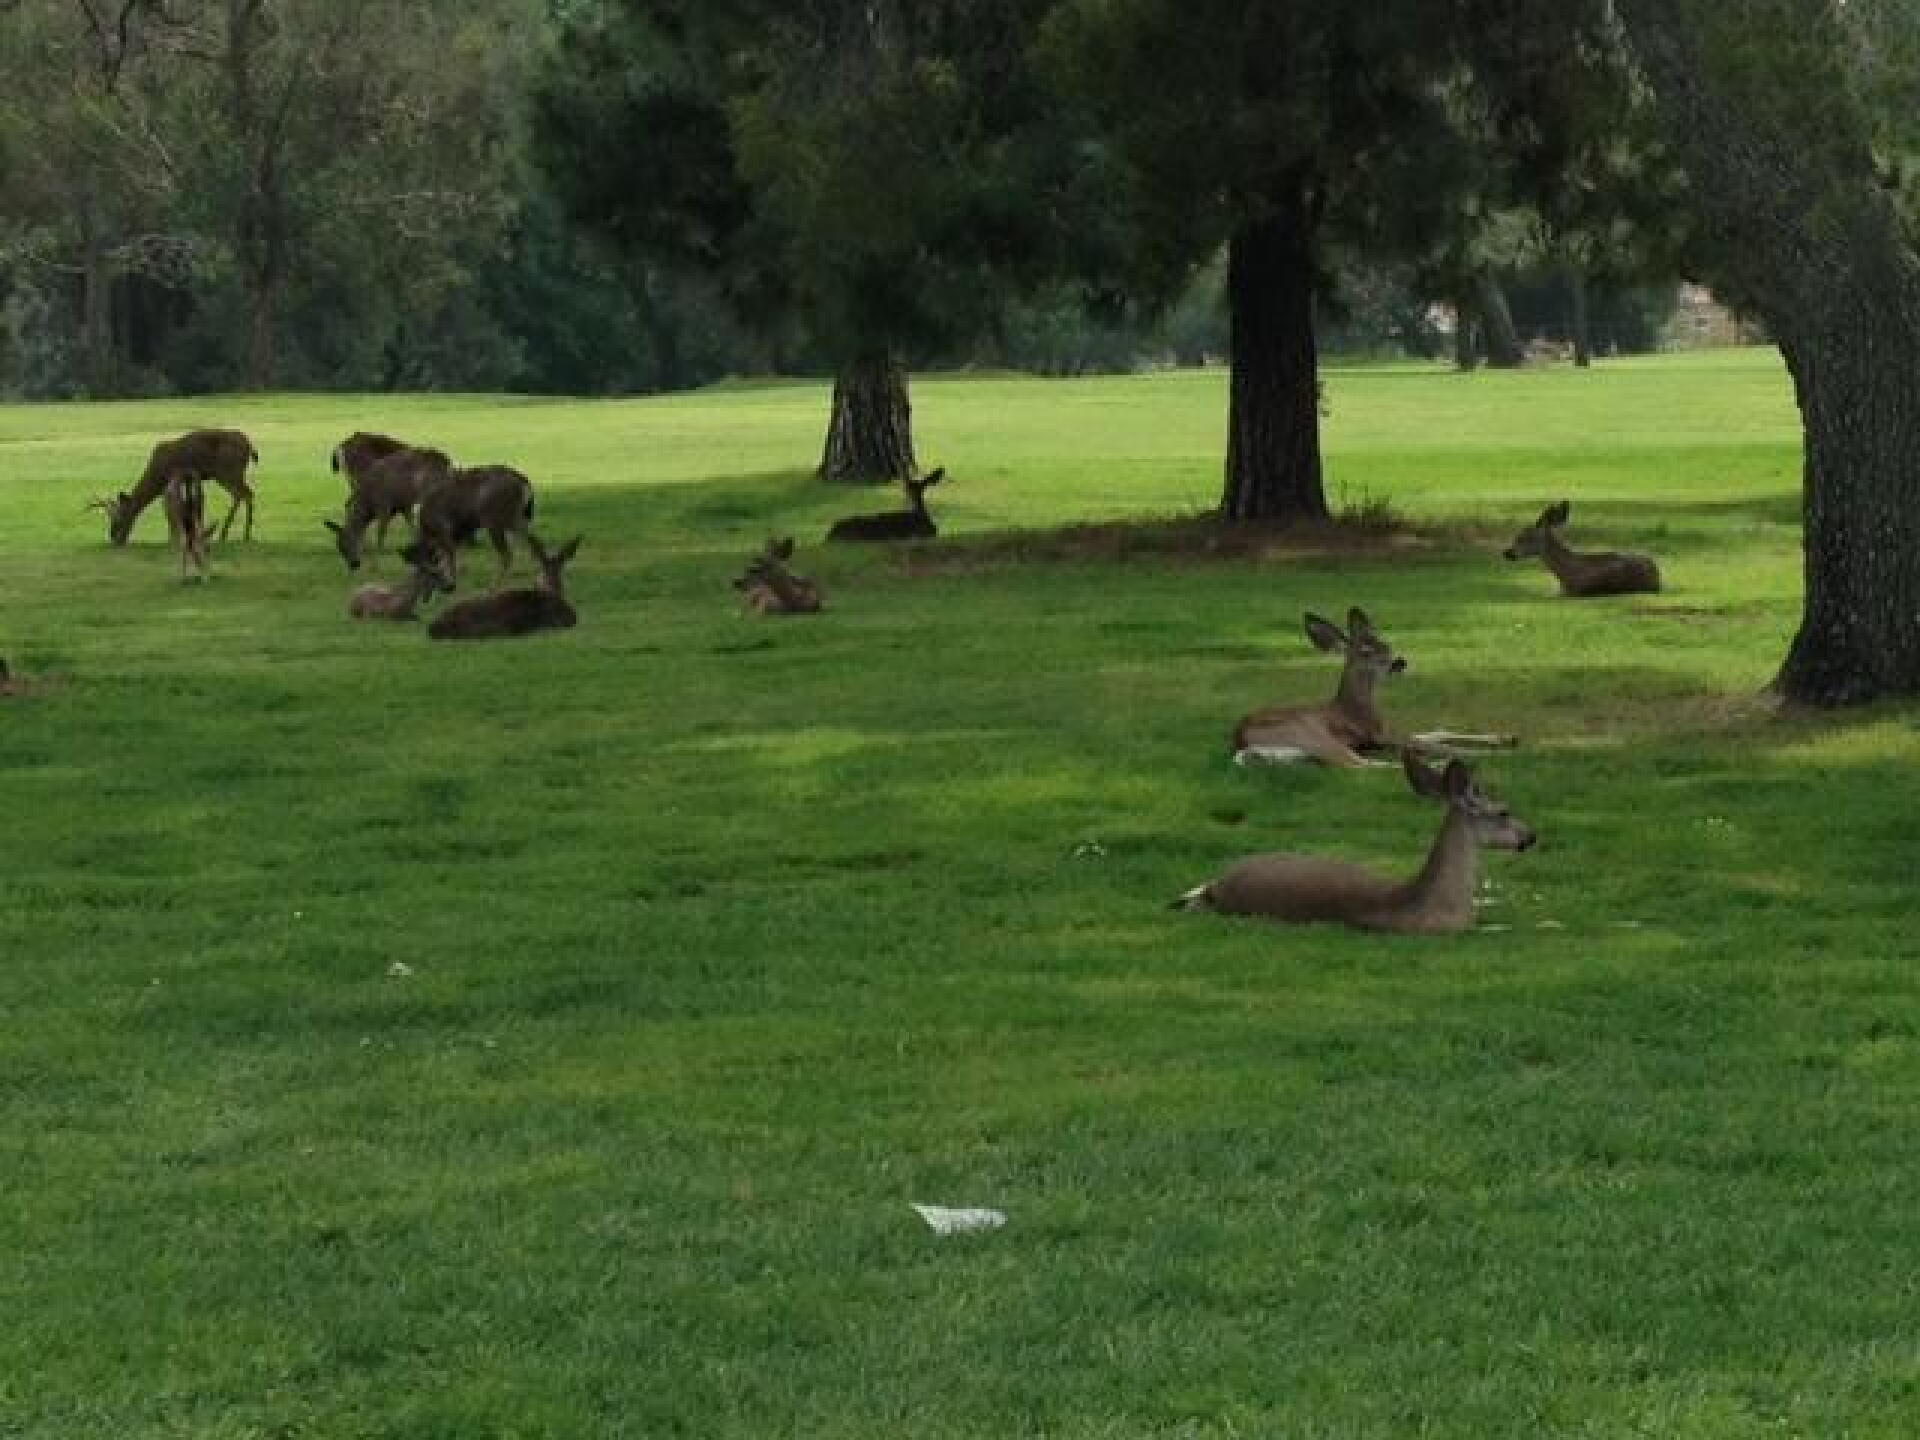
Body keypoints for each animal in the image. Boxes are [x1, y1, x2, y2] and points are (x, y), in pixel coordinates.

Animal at [93, 429, 259, 546]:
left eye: (120, 517)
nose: (113, 538)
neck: (157, 473)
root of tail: (250, 446)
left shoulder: (175, 477)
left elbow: (173, 505)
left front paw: (172, 539)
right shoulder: (189, 479)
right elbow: (193, 503)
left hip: (228, 470)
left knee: (245, 493)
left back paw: (236, 535)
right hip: (228, 473)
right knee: (244, 494)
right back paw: (236, 535)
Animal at [324, 446, 453, 570]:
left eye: (347, 543)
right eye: (340, 549)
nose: (354, 565)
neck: (369, 504)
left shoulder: (384, 506)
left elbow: (380, 535)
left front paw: (375, 566)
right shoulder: (403, 506)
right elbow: (413, 529)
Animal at [1232, 608, 1517, 767]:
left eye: (1386, 644)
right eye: (1366, 652)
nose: (1399, 662)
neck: (1357, 708)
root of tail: (1241, 743)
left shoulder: (1386, 731)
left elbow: (1437, 732)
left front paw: (1505, 737)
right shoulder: (1379, 734)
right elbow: (1437, 743)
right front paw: (1495, 753)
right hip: (1311, 732)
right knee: (1359, 766)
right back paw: (1441, 764)